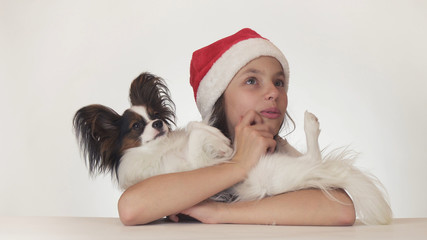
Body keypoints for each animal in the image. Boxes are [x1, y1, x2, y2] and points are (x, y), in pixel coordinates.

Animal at [74, 72, 394, 224]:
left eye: (155, 115)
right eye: (136, 127)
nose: (159, 124)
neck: (161, 150)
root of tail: (319, 175)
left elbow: (195, 127)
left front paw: (217, 134)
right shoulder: (193, 164)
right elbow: (196, 136)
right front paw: (224, 145)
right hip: (286, 171)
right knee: (315, 156)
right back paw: (310, 125)